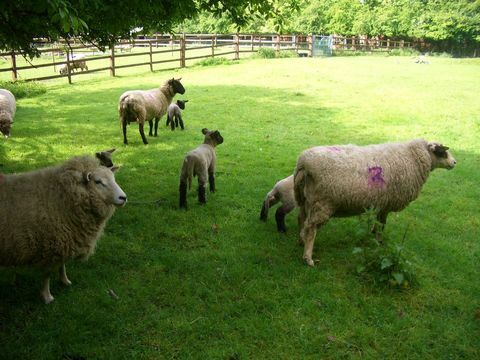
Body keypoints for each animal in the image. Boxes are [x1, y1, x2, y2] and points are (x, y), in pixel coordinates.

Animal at [0, 156, 127, 302]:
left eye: (114, 179)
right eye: (98, 181)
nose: (123, 198)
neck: (62, 198)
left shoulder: (64, 240)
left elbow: (62, 264)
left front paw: (65, 281)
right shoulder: (50, 246)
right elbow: (47, 274)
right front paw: (47, 296)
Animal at [292, 139, 458, 266]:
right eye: (442, 151)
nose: (454, 162)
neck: (413, 157)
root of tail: (303, 163)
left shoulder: (381, 202)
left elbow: (378, 221)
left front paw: (373, 232)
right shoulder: (388, 203)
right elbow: (382, 225)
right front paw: (379, 241)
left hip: (306, 199)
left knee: (301, 219)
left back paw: (300, 240)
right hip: (322, 202)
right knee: (311, 228)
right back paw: (308, 257)